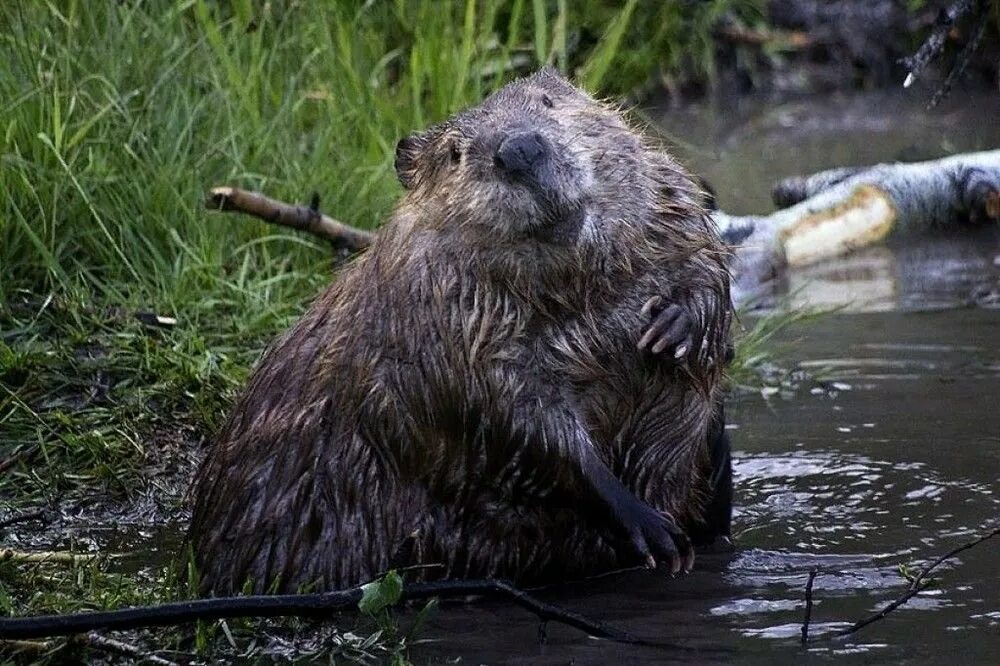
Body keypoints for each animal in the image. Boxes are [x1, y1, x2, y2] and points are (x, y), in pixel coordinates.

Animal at [189, 67, 736, 592]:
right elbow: (514, 422)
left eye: (548, 102)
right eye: (455, 153)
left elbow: (701, 256)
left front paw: (674, 326)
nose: (519, 150)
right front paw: (654, 530)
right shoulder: (437, 329)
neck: (576, 291)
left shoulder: (668, 205)